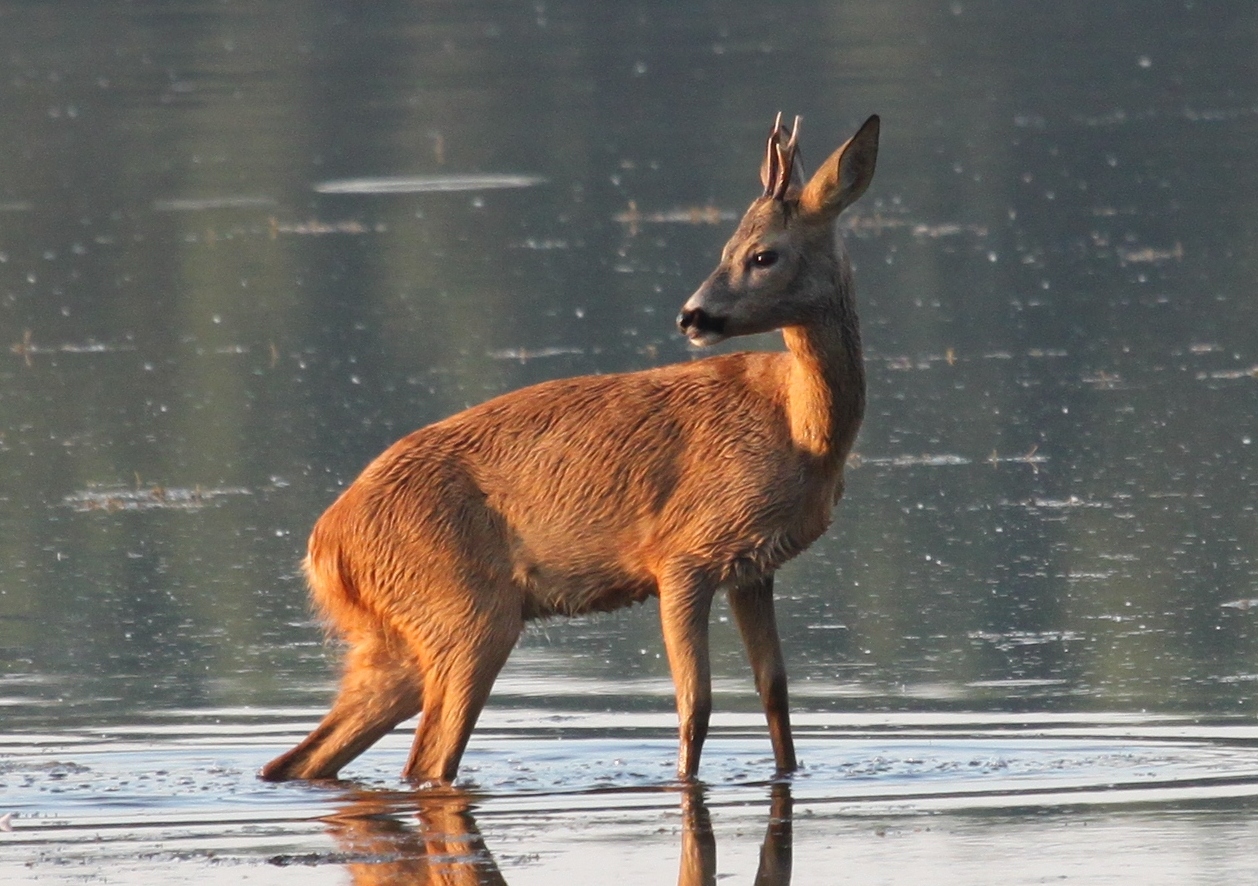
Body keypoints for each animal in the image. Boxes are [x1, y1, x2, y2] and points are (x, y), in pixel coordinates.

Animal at [260, 112, 880, 780]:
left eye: (763, 255)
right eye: (728, 250)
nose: (691, 316)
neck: (802, 430)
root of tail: (326, 547)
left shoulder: (754, 568)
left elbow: (776, 694)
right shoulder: (683, 553)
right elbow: (696, 706)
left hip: (399, 638)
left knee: (302, 759)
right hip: (465, 614)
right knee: (426, 760)